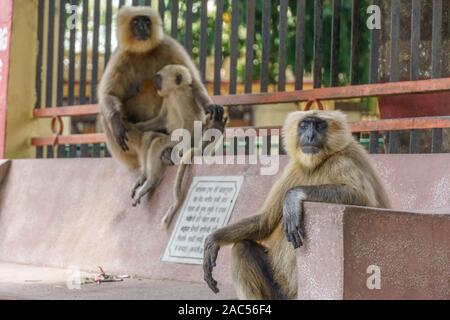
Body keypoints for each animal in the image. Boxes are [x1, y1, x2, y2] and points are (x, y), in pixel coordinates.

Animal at [99, 5, 224, 170]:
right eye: (136, 21)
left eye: (146, 21)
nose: (143, 27)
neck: (143, 52)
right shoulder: (120, 55)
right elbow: (110, 94)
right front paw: (116, 122)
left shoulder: (168, 45)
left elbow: (192, 83)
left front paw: (210, 106)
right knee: (107, 117)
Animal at [202, 110, 392, 300]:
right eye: (304, 125)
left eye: (319, 125)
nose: (310, 135)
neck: (320, 163)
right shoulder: (294, 169)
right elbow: (264, 222)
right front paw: (214, 240)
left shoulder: (342, 159)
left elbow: (362, 199)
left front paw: (293, 197)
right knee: (243, 247)